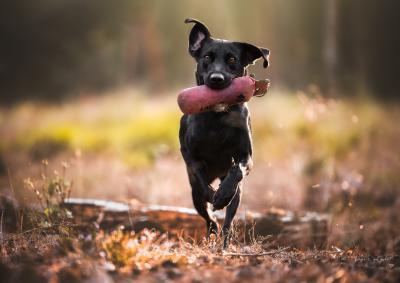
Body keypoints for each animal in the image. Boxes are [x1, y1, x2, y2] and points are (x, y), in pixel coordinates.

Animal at [180, 18, 270, 247]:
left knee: (228, 220)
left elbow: (237, 170)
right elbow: (199, 173)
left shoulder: (246, 156)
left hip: (238, 195)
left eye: (232, 59)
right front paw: (212, 195)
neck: (217, 117)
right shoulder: (189, 155)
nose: (216, 78)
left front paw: (222, 196)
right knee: (208, 217)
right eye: (206, 57)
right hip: (194, 195)